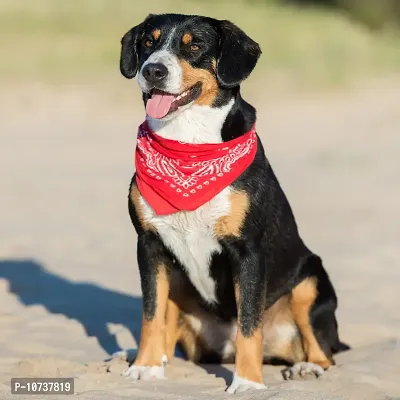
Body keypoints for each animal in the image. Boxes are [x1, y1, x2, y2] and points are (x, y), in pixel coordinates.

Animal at [118, 12, 346, 394]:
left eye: (195, 46)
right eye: (149, 42)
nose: (152, 71)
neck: (188, 146)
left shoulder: (248, 251)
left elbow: (249, 324)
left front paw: (248, 383)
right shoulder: (149, 245)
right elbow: (151, 314)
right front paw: (145, 367)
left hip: (310, 283)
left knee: (323, 351)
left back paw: (306, 367)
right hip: (179, 282)